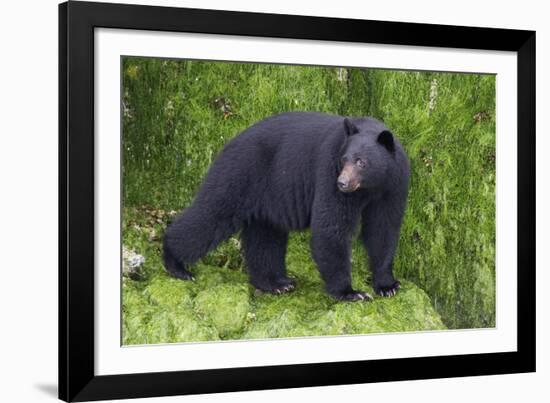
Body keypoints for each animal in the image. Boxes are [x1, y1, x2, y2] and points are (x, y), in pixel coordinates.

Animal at [163, 112, 410, 302]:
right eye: (344, 159)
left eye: (361, 162)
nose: (342, 183)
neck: (370, 187)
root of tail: (230, 141)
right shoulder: (327, 173)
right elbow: (330, 226)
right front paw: (350, 292)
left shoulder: (393, 186)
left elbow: (383, 228)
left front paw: (387, 285)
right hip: (238, 173)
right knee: (210, 215)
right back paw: (175, 263)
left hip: (265, 196)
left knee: (265, 238)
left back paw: (276, 283)